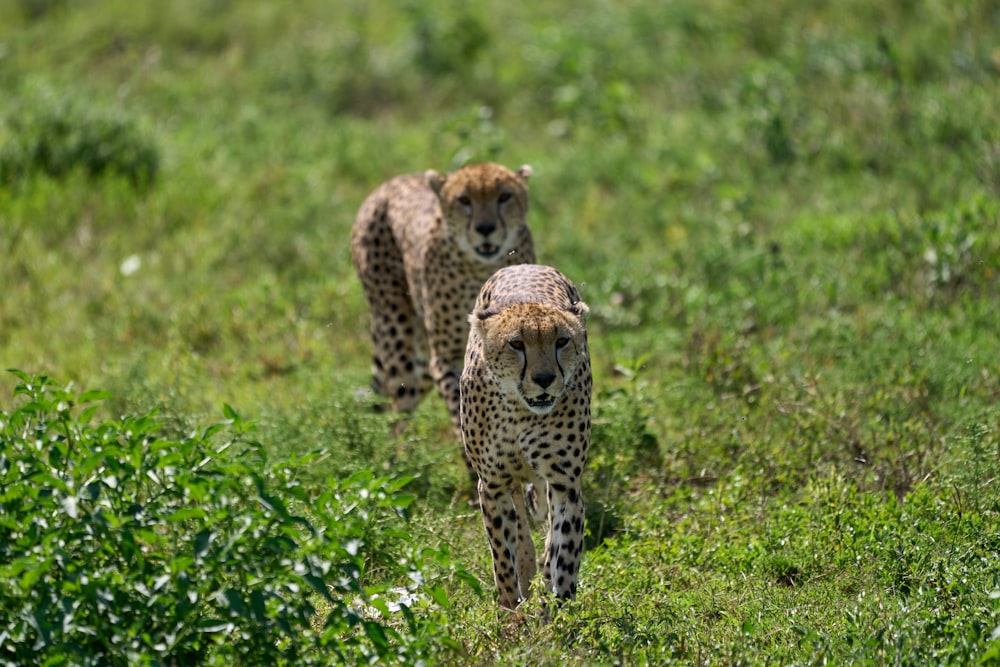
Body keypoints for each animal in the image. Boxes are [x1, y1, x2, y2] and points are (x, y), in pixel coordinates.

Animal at [354, 164, 540, 440]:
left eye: (504, 196)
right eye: (464, 200)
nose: (485, 228)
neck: (479, 267)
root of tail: (386, 186)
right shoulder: (448, 358)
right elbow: (462, 406)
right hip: (395, 327)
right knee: (400, 401)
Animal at [462, 264, 592, 608]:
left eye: (562, 341)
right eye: (517, 344)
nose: (544, 379)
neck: (520, 411)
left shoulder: (565, 484)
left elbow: (564, 555)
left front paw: (560, 613)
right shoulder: (492, 484)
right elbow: (502, 556)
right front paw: (511, 611)